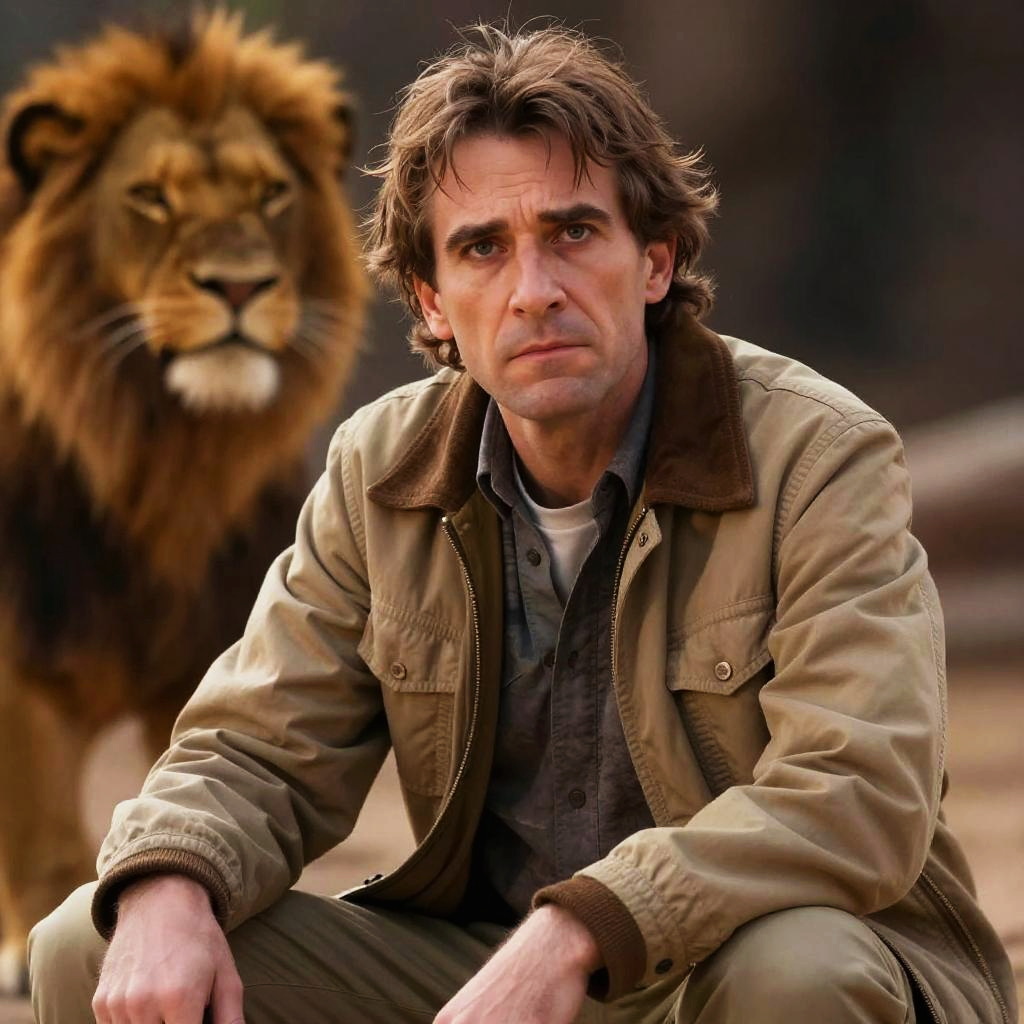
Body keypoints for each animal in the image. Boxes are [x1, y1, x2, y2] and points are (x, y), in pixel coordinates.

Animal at [0, 12, 366, 993]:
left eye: (272, 193)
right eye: (152, 198)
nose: (239, 286)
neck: (159, 461)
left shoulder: (222, 643)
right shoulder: (21, 654)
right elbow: (40, 823)